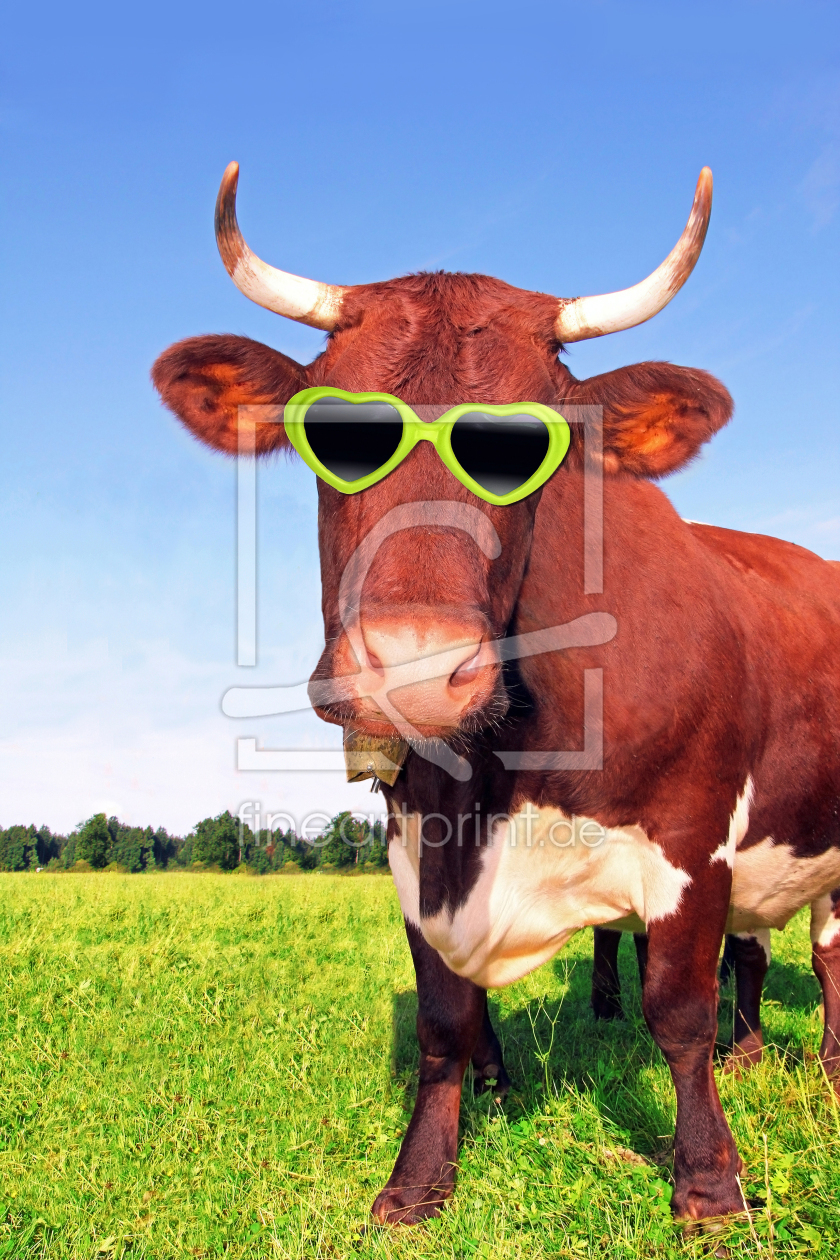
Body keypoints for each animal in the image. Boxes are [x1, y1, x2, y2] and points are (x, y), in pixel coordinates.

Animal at [152, 162, 840, 1225]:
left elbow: (679, 1014)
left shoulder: (694, 839)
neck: (502, 777)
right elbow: (446, 1019)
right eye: (328, 434)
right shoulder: (414, 841)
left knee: (819, 954)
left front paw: (709, 1182)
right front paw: (418, 1177)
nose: (414, 668)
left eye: (535, 442)